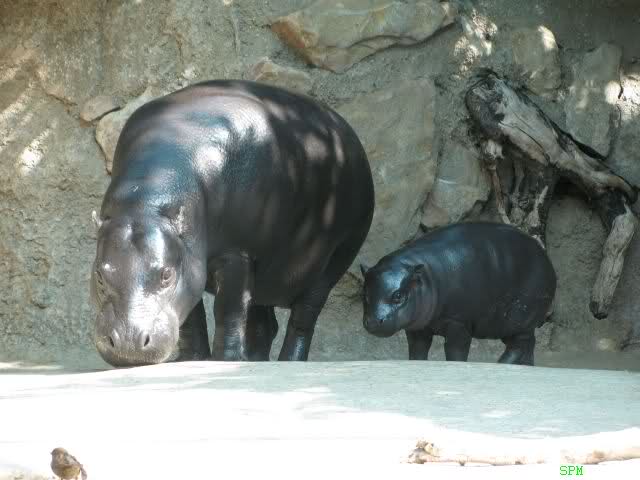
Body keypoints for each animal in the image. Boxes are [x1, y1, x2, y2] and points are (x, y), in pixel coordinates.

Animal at [90, 80, 375, 367]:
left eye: (166, 275)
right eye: (100, 275)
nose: (128, 342)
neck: (145, 201)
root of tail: (346, 132)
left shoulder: (235, 254)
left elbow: (228, 309)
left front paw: (224, 360)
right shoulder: (190, 259)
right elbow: (193, 316)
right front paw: (191, 359)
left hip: (336, 258)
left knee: (303, 316)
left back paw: (288, 361)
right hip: (265, 273)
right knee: (264, 323)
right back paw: (256, 360)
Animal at [360, 222, 556, 365]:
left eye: (398, 295)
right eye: (366, 294)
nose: (373, 321)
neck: (425, 274)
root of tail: (547, 259)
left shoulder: (458, 323)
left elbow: (456, 351)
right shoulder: (418, 327)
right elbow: (418, 350)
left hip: (520, 318)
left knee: (519, 345)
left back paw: (501, 364)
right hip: (507, 324)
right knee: (528, 345)